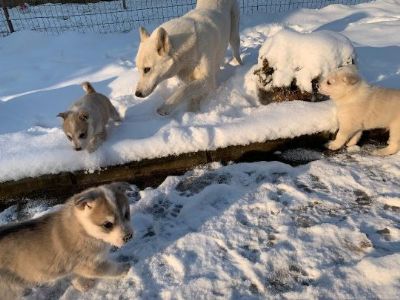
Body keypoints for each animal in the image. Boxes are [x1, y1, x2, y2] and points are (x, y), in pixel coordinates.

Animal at [0, 182, 134, 298]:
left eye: (126, 214)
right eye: (107, 224)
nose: (128, 237)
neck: (83, 228)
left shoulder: (73, 264)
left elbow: (75, 276)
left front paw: (82, 285)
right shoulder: (88, 264)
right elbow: (109, 269)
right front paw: (125, 269)